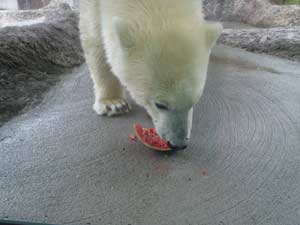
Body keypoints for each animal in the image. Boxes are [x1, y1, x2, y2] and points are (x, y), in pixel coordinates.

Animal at [80, 0, 223, 150]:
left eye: (194, 102)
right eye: (160, 105)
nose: (179, 144)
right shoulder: (91, 5)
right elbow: (94, 36)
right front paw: (113, 103)